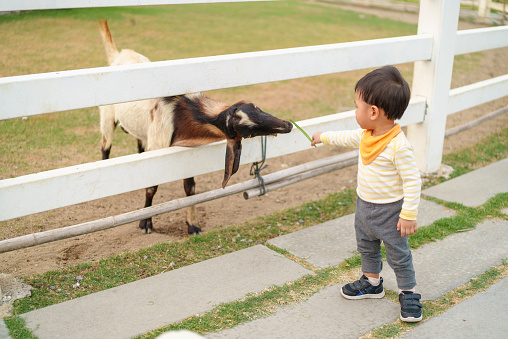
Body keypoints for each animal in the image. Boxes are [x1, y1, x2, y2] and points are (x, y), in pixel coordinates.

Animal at [98, 19, 294, 235]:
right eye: (249, 132)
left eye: (256, 107)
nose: (288, 125)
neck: (183, 112)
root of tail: (119, 55)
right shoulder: (159, 145)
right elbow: (152, 186)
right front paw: (145, 223)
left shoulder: (184, 151)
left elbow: (190, 187)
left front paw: (193, 225)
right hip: (107, 117)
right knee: (105, 148)